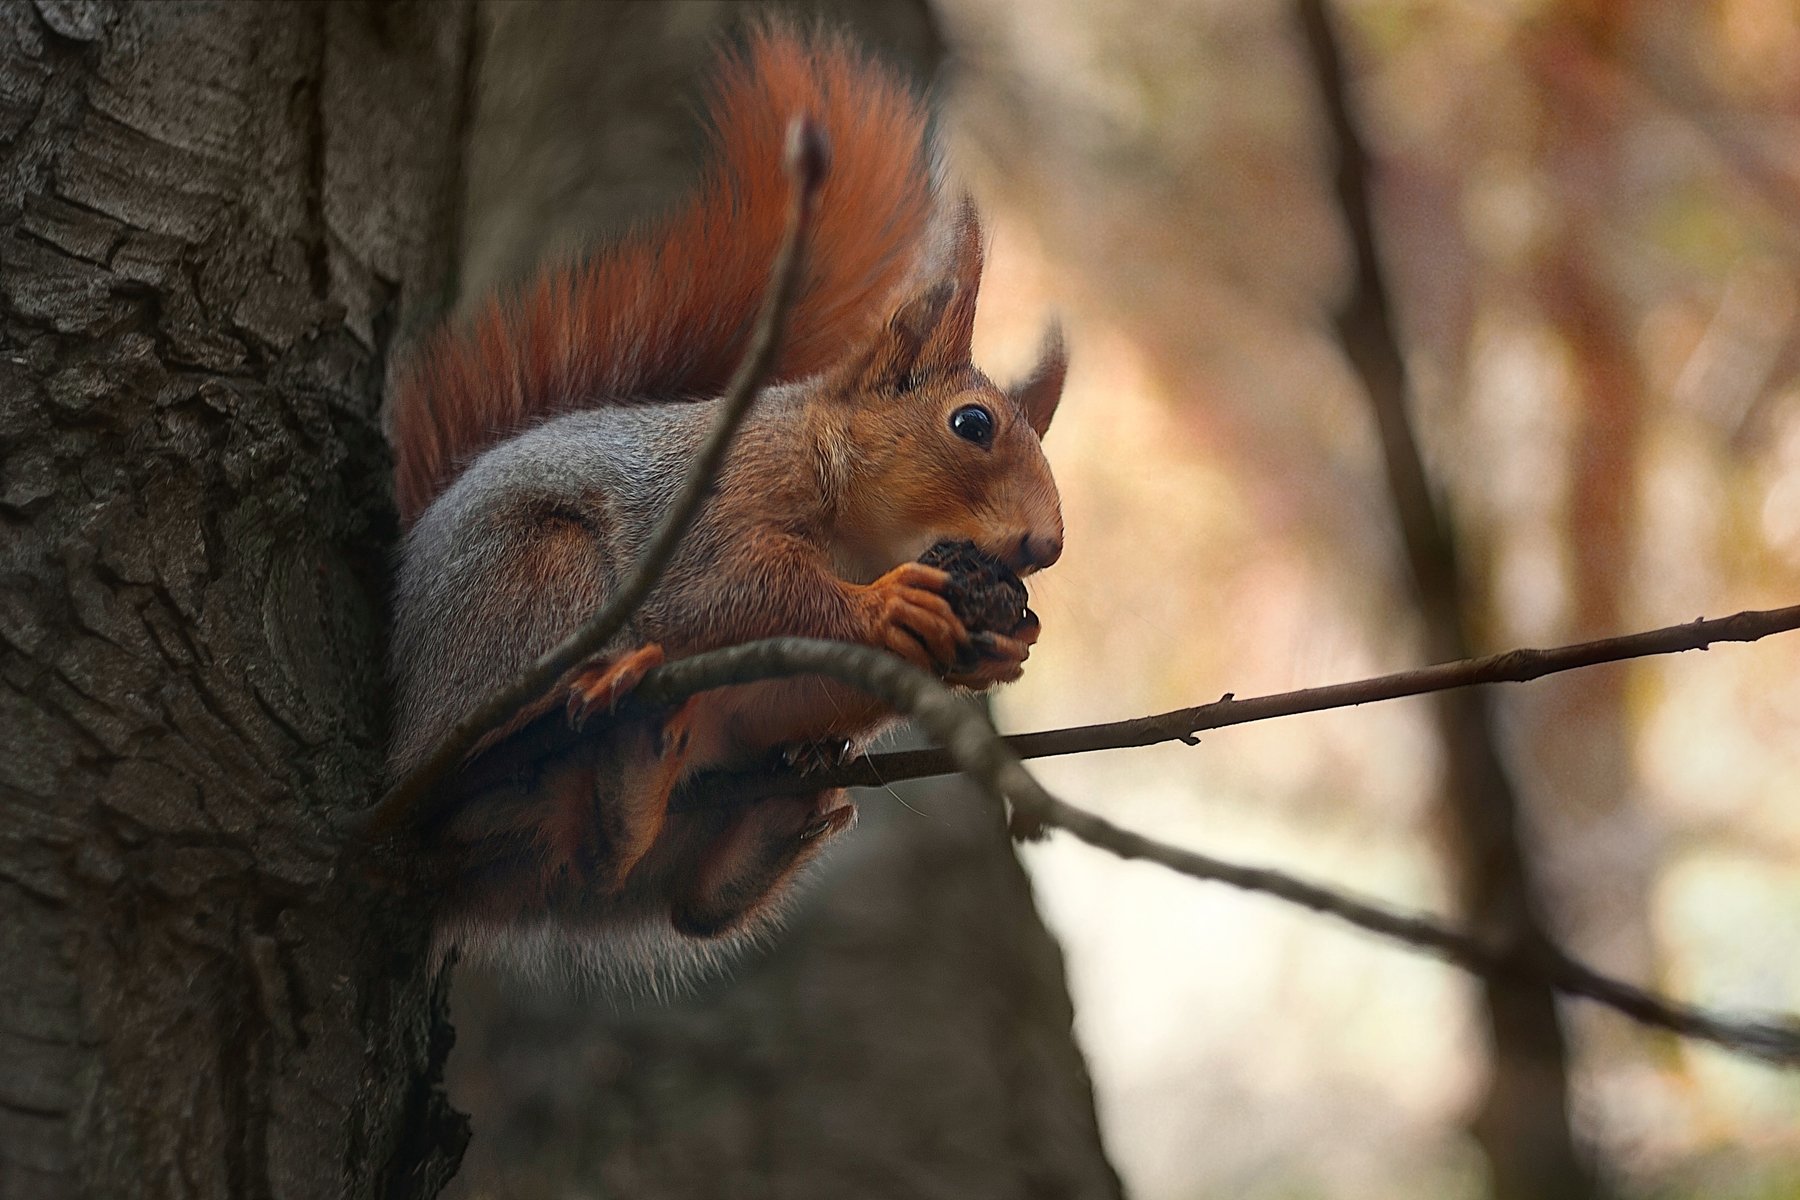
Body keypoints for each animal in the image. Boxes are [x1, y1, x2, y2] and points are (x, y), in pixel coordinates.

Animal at [387, 23, 1058, 985]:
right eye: (972, 423)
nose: (1046, 545)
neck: (861, 533)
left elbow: (785, 692)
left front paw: (993, 646)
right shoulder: (721, 500)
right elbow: (722, 595)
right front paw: (884, 605)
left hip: (657, 837)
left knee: (654, 887)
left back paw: (736, 812)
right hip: (539, 582)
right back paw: (576, 704)